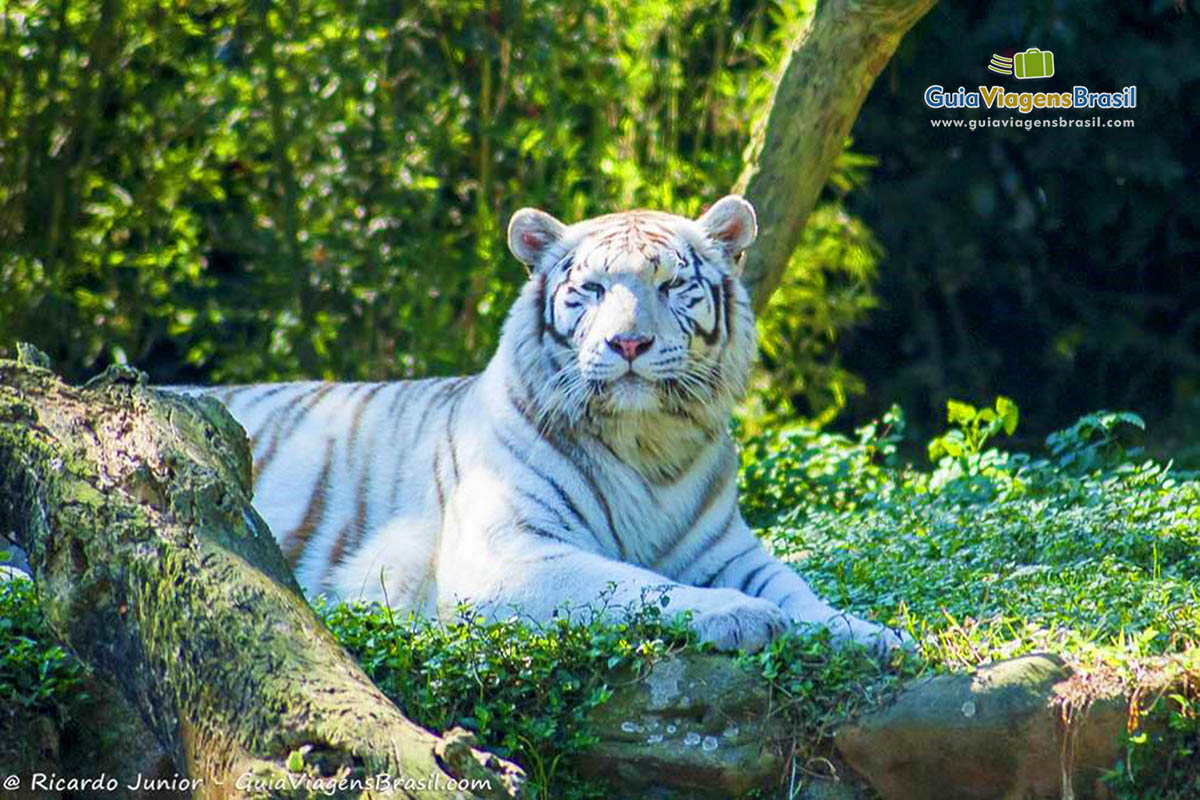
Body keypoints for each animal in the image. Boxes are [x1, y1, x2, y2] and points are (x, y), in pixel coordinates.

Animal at [201, 196, 902, 652]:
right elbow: (639, 586)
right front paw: (739, 614)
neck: (648, 445)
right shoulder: (507, 552)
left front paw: (870, 633)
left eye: (671, 285)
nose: (628, 343)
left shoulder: (728, 550)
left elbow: (797, 589)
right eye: (592, 290)